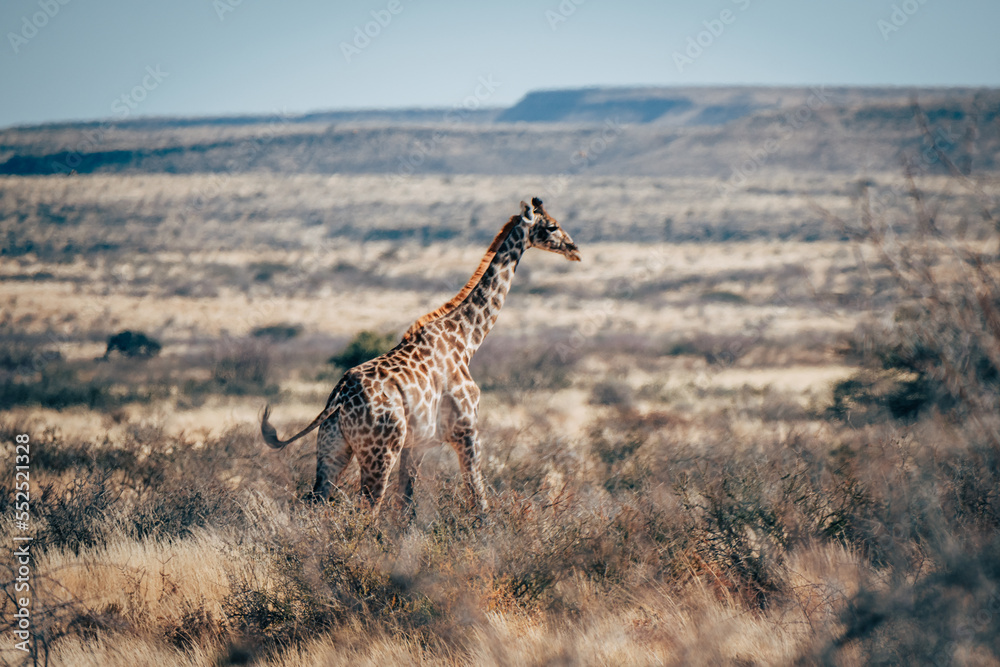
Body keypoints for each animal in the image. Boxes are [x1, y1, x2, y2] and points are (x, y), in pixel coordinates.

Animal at [260, 197, 580, 512]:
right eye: (552, 226)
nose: (574, 249)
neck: (466, 339)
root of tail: (338, 397)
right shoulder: (467, 431)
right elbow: (478, 501)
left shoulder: (417, 444)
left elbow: (406, 506)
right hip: (380, 451)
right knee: (367, 508)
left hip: (333, 448)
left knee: (315, 501)